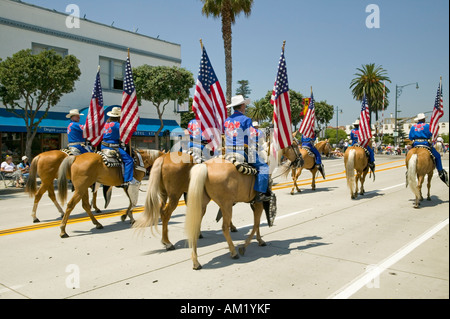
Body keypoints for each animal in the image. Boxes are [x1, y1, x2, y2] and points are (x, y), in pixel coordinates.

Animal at [185, 142, 304, 270]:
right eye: (295, 145)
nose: (301, 161)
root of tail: (205, 165)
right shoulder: (259, 202)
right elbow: (256, 224)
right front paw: (244, 247)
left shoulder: (253, 204)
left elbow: (257, 224)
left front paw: (260, 240)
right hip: (226, 205)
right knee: (224, 228)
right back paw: (233, 252)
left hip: (201, 205)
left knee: (195, 227)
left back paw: (196, 261)